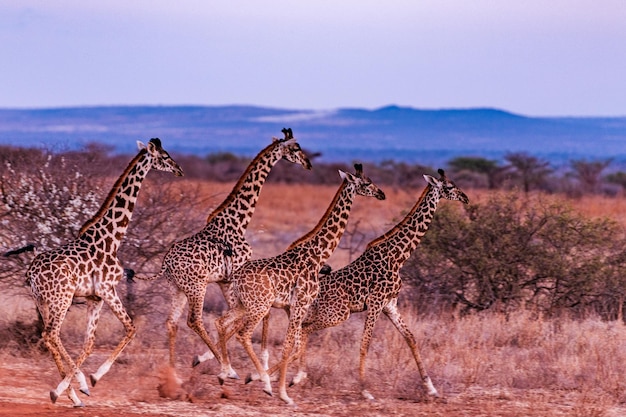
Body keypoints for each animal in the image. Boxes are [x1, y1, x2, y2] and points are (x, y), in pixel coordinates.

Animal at [26, 138, 183, 404]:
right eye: (163, 156)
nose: (179, 170)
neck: (112, 238)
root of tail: (32, 272)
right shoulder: (108, 290)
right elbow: (131, 328)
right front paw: (91, 379)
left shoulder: (94, 297)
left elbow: (90, 342)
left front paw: (81, 385)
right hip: (61, 298)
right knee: (51, 334)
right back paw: (67, 389)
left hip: (42, 301)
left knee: (49, 336)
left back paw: (71, 396)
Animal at [137, 127, 312, 374]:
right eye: (296, 148)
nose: (308, 164)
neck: (239, 221)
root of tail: (166, 264)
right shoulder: (234, 276)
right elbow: (241, 318)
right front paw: (218, 360)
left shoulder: (225, 280)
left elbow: (237, 318)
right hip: (197, 286)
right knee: (194, 320)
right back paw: (223, 366)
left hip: (176, 287)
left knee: (172, 322)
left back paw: (173, 370)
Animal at [214, 164, 382, 404]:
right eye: (367, 183)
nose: (381, 194)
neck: (319, 255)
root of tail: (236, 278)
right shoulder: (300, 303)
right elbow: (288, 346)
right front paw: (284, 394)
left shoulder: (294, 306)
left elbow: (294, 343)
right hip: (259, 306)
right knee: (243, 334)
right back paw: (264, 383)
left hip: (242, 304)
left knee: (220, 323)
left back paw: (226, 372)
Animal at [286, 168, 466, 400]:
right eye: (450, 186)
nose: (466, 198)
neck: (398, 256)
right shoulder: (375, 302)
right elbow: (365, 344)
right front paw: (365, 390)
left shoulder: (390, 304)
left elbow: (411, 339)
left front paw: (431, 388)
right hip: (337, 314)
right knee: (304, 329)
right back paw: (292, 377)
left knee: (299, 329)